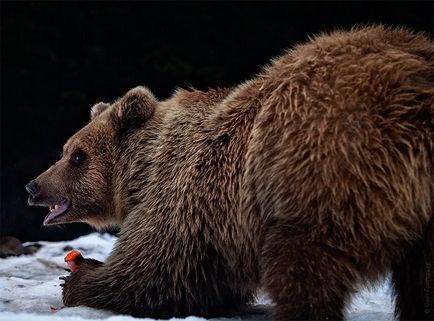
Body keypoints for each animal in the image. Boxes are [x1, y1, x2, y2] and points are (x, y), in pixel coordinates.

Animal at [28, 25, 434, 320]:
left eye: (77, 156)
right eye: (66, 151)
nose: (33, 186)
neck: (139, 174)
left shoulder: (189, 191)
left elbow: (155, 270)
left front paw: (79, 277)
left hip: (321, 164)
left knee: (304, 263)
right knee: (422, 276)